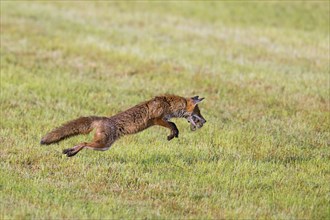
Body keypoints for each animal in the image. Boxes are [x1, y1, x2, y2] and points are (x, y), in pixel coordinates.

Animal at [40, 94, 206, 156]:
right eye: (198, 111)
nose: (205, 121)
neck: (169, 103)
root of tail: (104, 119)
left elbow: (172, 124)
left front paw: (173, 135)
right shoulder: (156, 119)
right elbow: (172, 124)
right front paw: (173, 134)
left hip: (104, 146)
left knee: (83, 143)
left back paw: (69, 151)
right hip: (103, 144)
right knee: (84, 142)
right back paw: (71, 152)